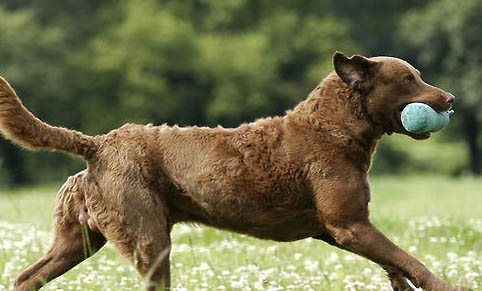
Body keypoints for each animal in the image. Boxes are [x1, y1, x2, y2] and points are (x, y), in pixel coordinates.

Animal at [0, 53, 466, 291]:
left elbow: (395, 265)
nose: (450, 97)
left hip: (79, 238)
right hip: (148, 238)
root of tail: (96, 143)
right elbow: (408, 259)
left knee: (28, 276)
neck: (332, 128)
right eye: (408, 79)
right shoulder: (349, 224)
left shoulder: (337, 228)